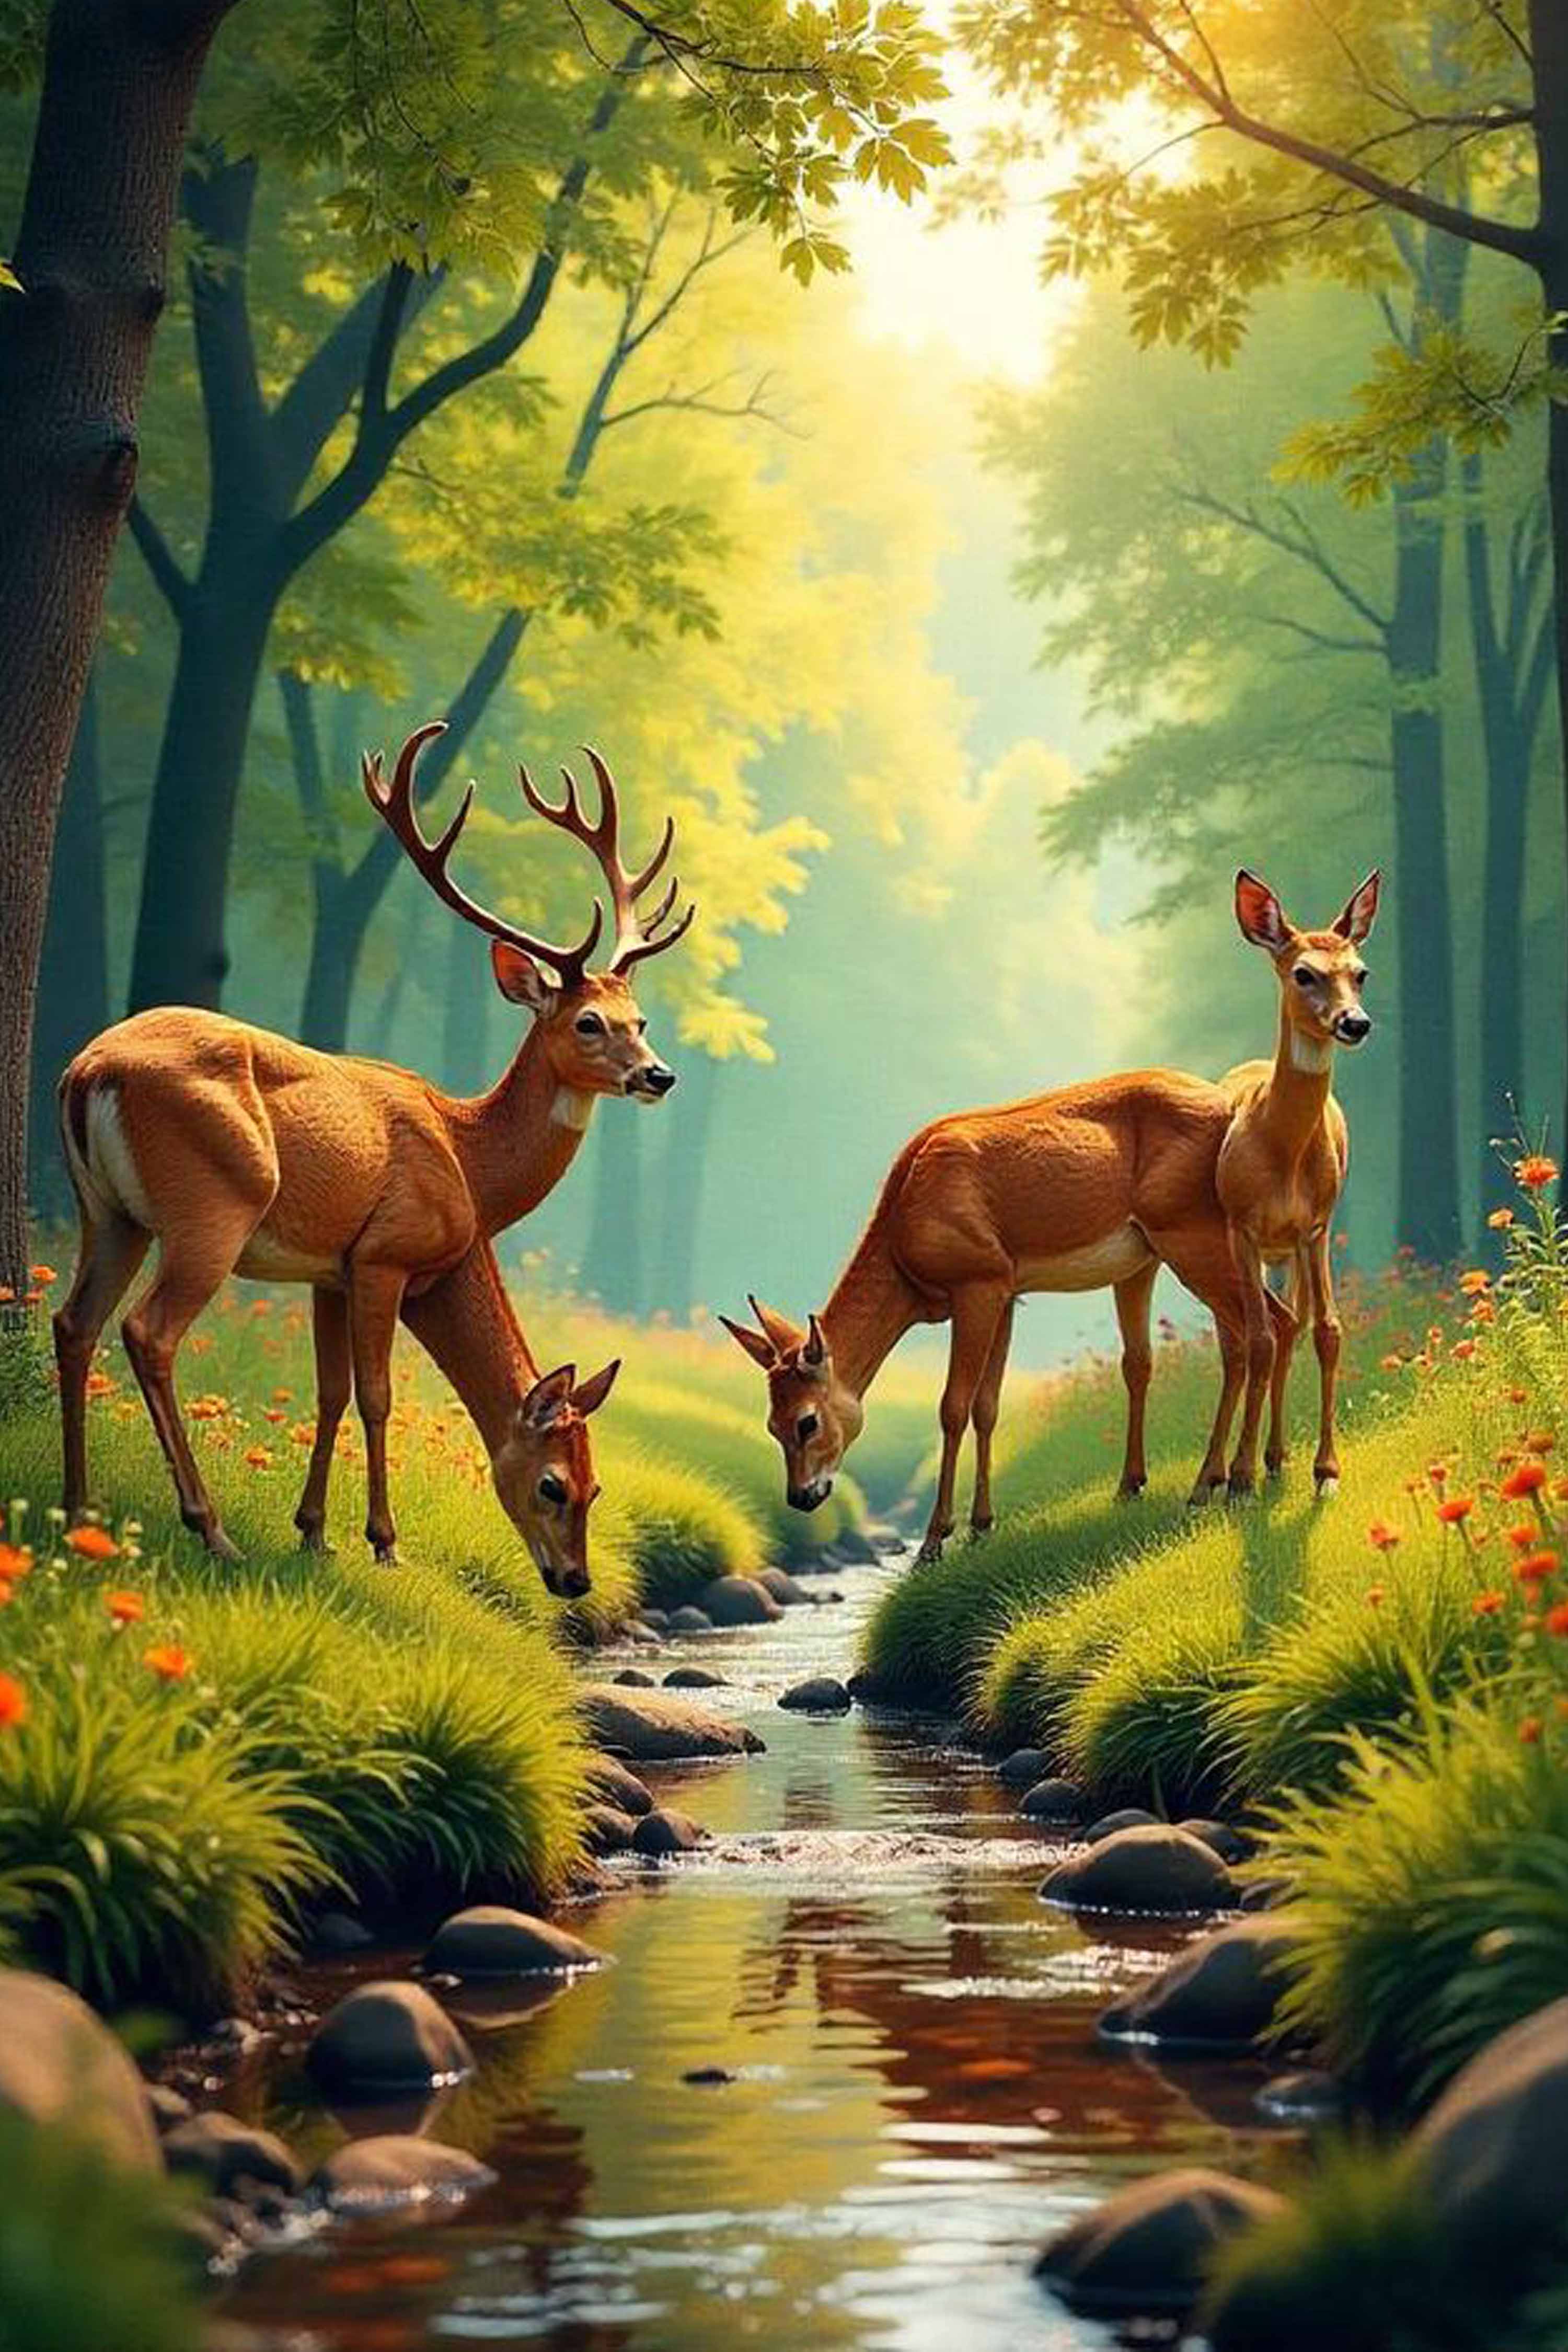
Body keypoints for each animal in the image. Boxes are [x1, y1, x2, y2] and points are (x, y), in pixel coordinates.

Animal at [52, 722, 693, 1580]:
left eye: (641, 1020)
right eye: (553, 1485)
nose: (572, 1579)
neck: (466, 1154)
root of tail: (89, 1070)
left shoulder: (332, 1269)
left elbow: (328, 1391)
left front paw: (313, 1529)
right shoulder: (387, 1254)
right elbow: (377, 1394)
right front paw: (383, 1541)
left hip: (109, 1212)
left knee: (75, 1322)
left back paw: (77, 1506)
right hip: (212, 1207)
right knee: (148, 1332)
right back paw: (208, 1527)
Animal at [721, 871, 1380, 1561]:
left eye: (806, 1420)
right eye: (769, 1424)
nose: (803, 1496)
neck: (905, 1240)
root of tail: (1239, 1102)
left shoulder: (976, 1278)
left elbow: (952, 1406)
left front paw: (935, 1540)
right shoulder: (1007, 1288)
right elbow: (989, 1403)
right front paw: (983, 1524)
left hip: (1196, 1235)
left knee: (1269, 1326)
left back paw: (1244, 1478)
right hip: (1171, 1253)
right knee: (1245, 1335)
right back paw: (1222, 1477)